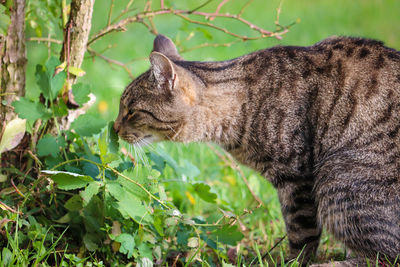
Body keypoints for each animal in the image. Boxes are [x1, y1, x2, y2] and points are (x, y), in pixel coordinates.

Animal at [111, 34, 400, 266]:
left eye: (132, 111)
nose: (113, 128)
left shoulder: (297, 180)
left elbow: (301, 234)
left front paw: (292, 263)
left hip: (337, 179)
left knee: (383, 257)